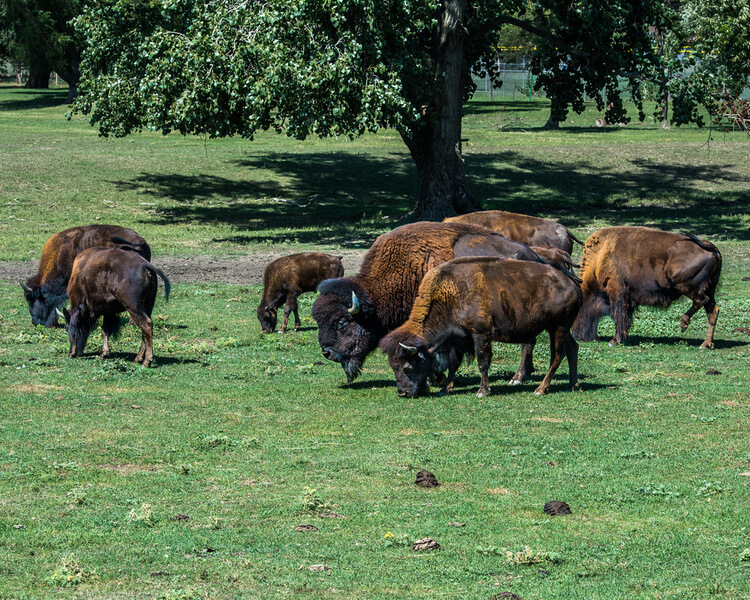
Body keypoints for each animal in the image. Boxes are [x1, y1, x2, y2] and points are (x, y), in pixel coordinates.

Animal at [312, 221, 576, 384]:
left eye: (341, 322)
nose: (327, 352)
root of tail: (537, 256)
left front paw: (434, 377)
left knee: (527, 343)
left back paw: (518, 377)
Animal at [382, 258, 580, 398]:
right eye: (393, 366)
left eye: (408, 367)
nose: (402, 392)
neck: (451, 294)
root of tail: (571, 282)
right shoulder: (457, 340)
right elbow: (454, 365)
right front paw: (445, 389)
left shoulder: (481, 335)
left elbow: (482, 363)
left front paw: (482, 391)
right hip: (563, 329)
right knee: (572, 349)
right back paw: (573, 386)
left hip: (558, 328)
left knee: (557, 355)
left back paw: (540, 389)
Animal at [572, 227, 724, 350]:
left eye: (577, 308)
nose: (576, 335)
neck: (600, 257)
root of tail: (711, 247)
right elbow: (624, 318)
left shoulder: (617, 293)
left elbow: (618, 316)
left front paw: (614, 341)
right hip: (709, 288)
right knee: (713, 310)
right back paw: (705, 344)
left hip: (684, 285)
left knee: (702, 301)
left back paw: (683, 324)